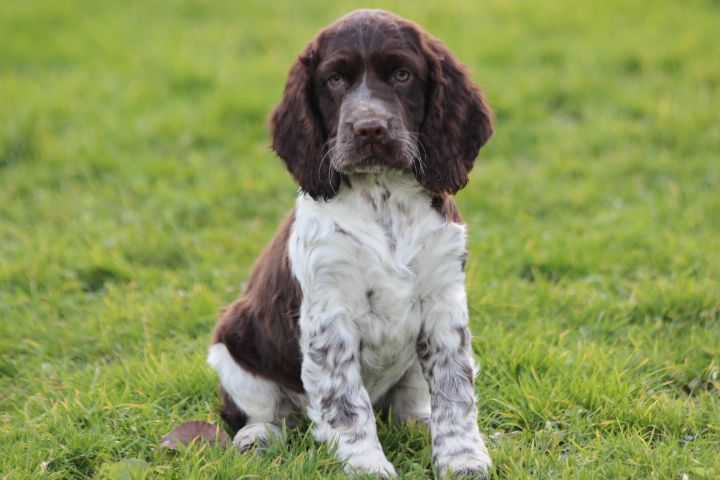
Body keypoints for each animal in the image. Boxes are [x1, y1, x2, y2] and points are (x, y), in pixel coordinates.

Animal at [205, 9, 492, 478]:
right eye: (335, 80)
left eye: (402, 74)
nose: (369, 128)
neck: (382, 197)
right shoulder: (329, 312)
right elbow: (344, 402)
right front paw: (366, 465)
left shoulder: (444, 301)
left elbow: (455, 389)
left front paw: (463, 458)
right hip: (232, 346)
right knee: (266, 411)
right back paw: (257, 436)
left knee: (407, 404)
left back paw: (419, 421)